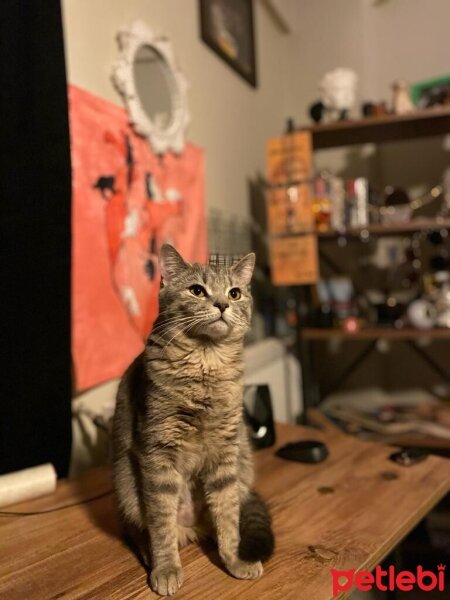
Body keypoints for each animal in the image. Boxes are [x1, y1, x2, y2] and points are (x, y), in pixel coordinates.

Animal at [112, 243, 274, 596]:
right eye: (197, 290)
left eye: (235, 292)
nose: (223, 304)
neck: (205, 364)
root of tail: (193, 526)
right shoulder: (158, 455)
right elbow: (161, 525)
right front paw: (166, 569)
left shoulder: (225, 454)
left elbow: (227, 518)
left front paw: (234, 558)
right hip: (127, 487)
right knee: (143, 530)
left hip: (242, 465)